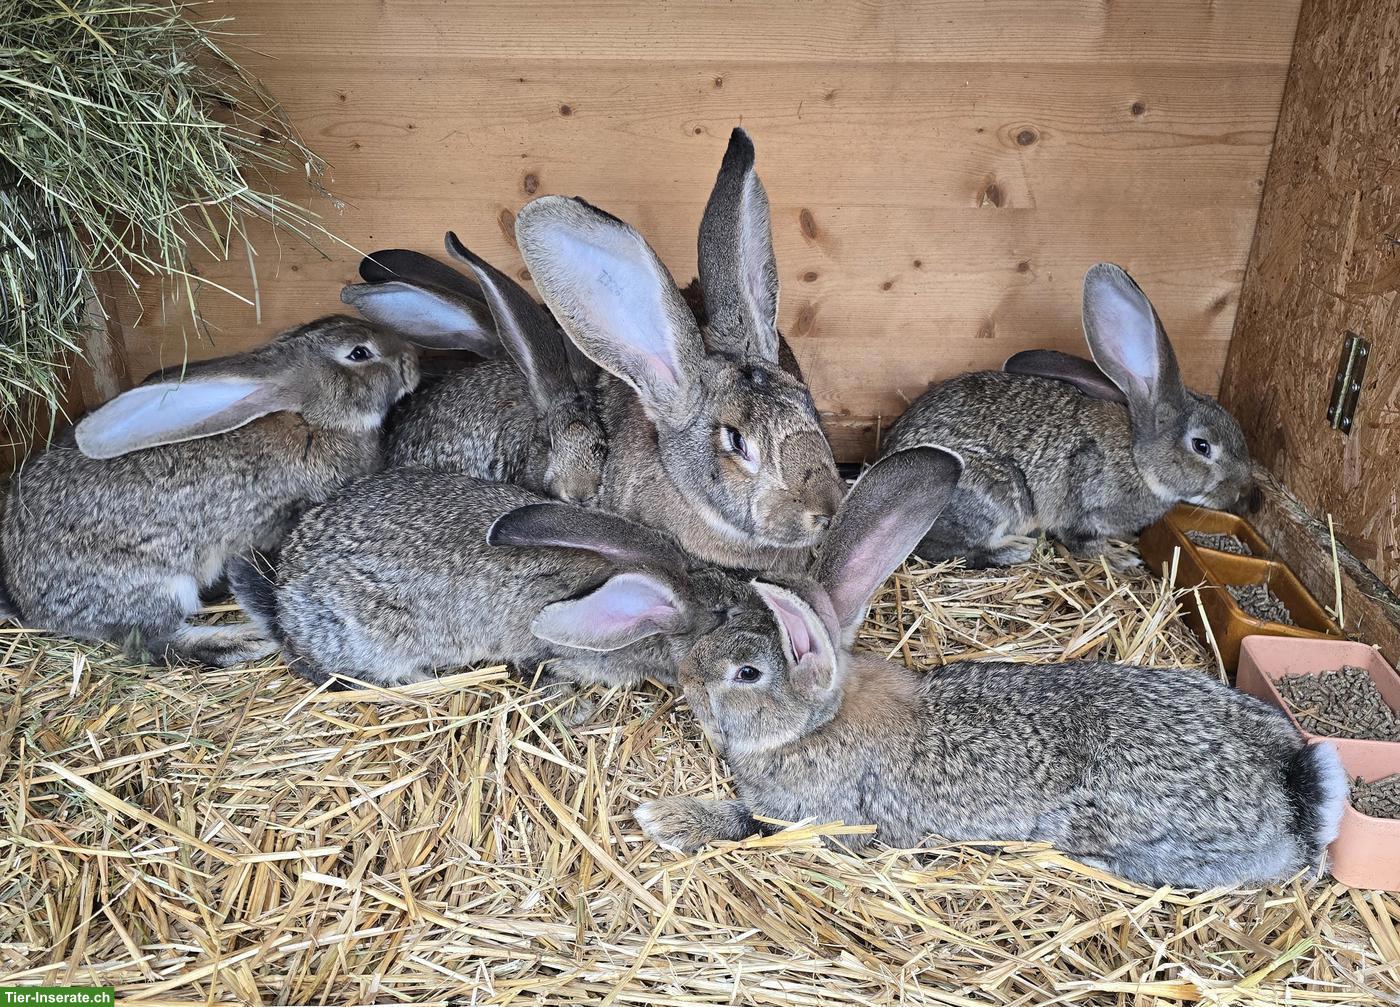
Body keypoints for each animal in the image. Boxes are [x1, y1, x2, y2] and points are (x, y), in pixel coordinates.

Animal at [0, 314, 479, 667]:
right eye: (359, 353)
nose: (412, 356)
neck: (312, 419)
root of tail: (29, 604)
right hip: (157, 586)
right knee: (154, 643)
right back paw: (242, 641)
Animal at [633, 445, 1347, 889]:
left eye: (747, 674)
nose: (688, 687)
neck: (817, 722)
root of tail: (1296, 791)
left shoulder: (828, 818)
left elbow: (749, 825)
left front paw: (663, 819)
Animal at [880, 264, 1255, 568]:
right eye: (1202, 446)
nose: (1238, 494)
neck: (1137, 458)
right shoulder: (1085, 509)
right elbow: (1083, 542)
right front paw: (1121, 557)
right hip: (998, 494)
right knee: (943, 549)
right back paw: (1013, 550)